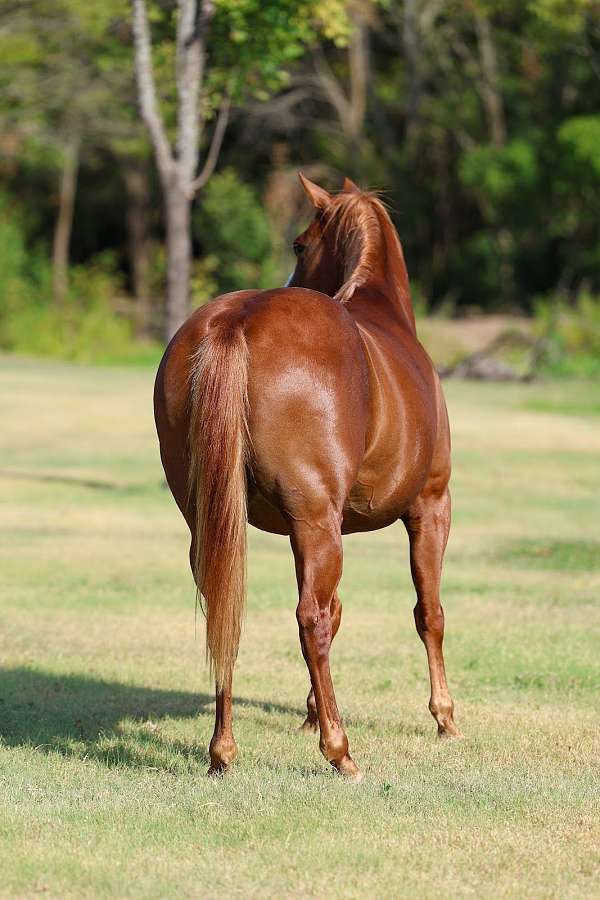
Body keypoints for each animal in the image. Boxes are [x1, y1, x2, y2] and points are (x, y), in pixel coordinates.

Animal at [153, 173, 461, 782]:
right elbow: (427, 613)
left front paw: (311, 713)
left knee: (226, 609)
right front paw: (444, 717)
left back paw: (222, 750)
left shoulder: (334, 525)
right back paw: (340, 751)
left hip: (218, 522)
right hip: (316, 521)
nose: (293, 273)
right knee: (310, 620)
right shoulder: (430, 508)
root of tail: (237, 320)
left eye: (298, 246)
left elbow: (341, 612)